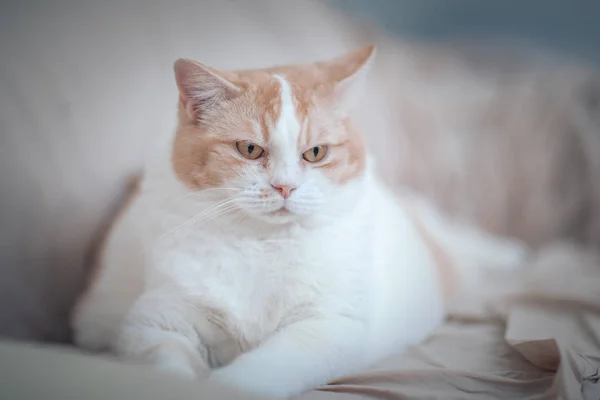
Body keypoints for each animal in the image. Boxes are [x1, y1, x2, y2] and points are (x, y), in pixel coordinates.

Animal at [70, 46, 524, 396]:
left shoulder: (324, 328)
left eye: (316, 153)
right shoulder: (157, 323)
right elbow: (167, 365)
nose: (285, 187)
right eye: (250, 149)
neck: (260, 243)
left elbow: (252, 374)